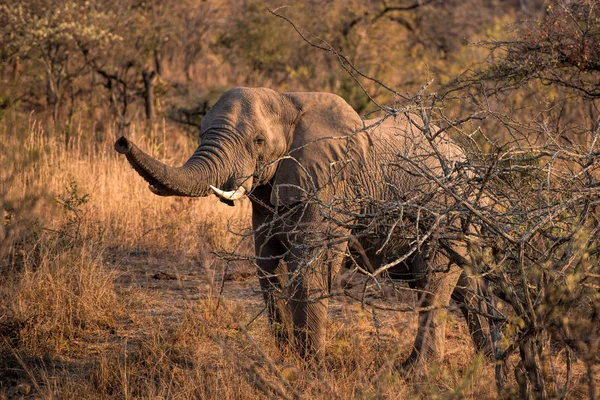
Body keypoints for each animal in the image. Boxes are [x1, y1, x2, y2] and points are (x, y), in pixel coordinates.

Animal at [113, 86, 492, 366]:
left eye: (258, 142)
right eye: (201, 133)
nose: (121, 140)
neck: (286, 101)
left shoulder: (330, 186)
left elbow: (310, 267)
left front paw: (311, 365)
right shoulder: (268, 199)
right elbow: (268, 267)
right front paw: (286, 360)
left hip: (445, 217)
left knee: (431, 283)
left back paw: (415, 371)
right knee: (467, 288)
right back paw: (488, 361)